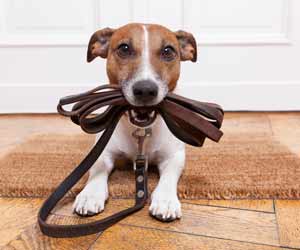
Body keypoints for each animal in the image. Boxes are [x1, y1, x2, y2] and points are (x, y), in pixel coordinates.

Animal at [73, 23, 197, 221]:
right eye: (124, 48)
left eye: (168, 51)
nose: (145, 90)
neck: (141, 130)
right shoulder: (103, 152)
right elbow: (97, 168)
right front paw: (90, 194)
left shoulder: (174, 156)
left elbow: (169, 175)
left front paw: (166, 200)